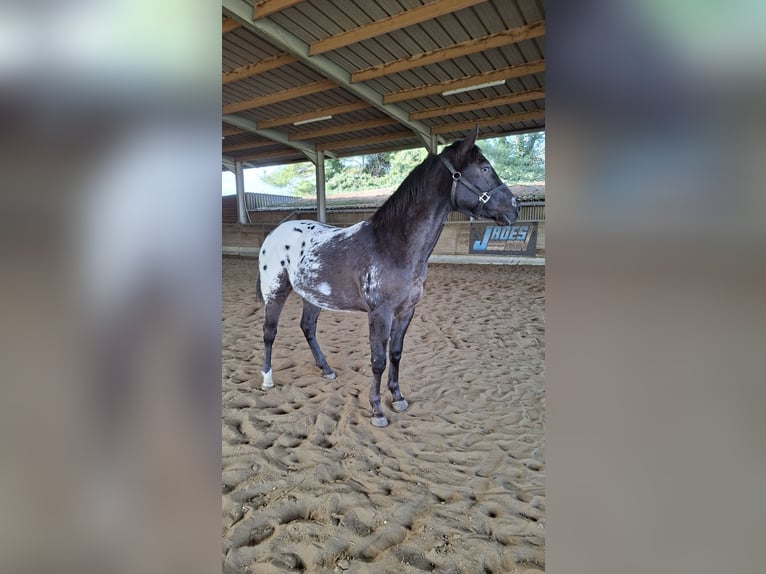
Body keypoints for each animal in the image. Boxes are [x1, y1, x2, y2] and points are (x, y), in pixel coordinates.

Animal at [256, 127, 520, 427]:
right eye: (485, 168)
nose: (515, 207)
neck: (392, 244)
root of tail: (276, 232)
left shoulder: (406, 311)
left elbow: (395, 354)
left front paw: (398, 398)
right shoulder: (380, 313)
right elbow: (378, 360)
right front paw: (377, 410)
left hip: (313, 296)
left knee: (308, 328)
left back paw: (326, 370)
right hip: (275, 291)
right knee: (269, 332)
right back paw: (267, 380)